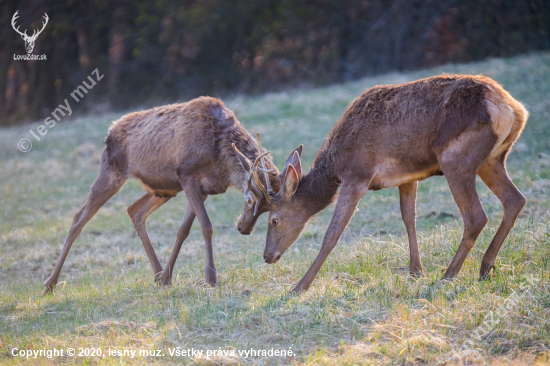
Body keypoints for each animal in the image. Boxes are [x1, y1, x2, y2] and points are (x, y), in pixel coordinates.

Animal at [43, 96, 282, 294]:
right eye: (249, 198)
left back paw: (157, 274)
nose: (243, 228)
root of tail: (109, 131)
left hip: (163, 189)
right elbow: (206, 226)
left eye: (267, 209)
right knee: (79, 218)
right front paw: (211, 278)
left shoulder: (202, 188)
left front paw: (168, 277)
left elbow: (183, 230)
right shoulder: (187, 175)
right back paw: (50, 284)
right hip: (111, 170)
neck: (219, 157)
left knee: (134, 210)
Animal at [242, 74, 532, 292]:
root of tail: (513, 109)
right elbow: (408, 218)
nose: (268, 256)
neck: (336, 163)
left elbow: (332, 234)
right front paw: (415, 270)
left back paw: (449, 274)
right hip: (492, 159)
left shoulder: (357, 175)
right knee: (515, 200)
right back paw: (485, 268)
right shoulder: (408, 176)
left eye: (274, 220)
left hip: (455, 159)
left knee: (476, 216)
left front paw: (300, 286)